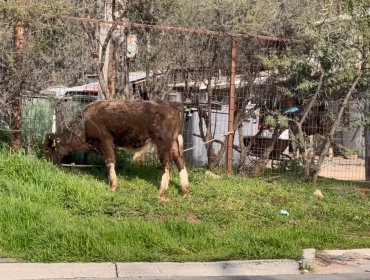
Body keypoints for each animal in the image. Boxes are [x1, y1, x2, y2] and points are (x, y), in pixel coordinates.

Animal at [42, 99, 191, 200]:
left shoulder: (105, 142)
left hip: (163, 144)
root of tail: (173, 105)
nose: (44, 163)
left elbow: (110, 162)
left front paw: (113, 185)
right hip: (175, 144)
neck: (84, 123)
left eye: (47, 149)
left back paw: (161, 192)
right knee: (180, 163)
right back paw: (184, 191)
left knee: (166, 166)